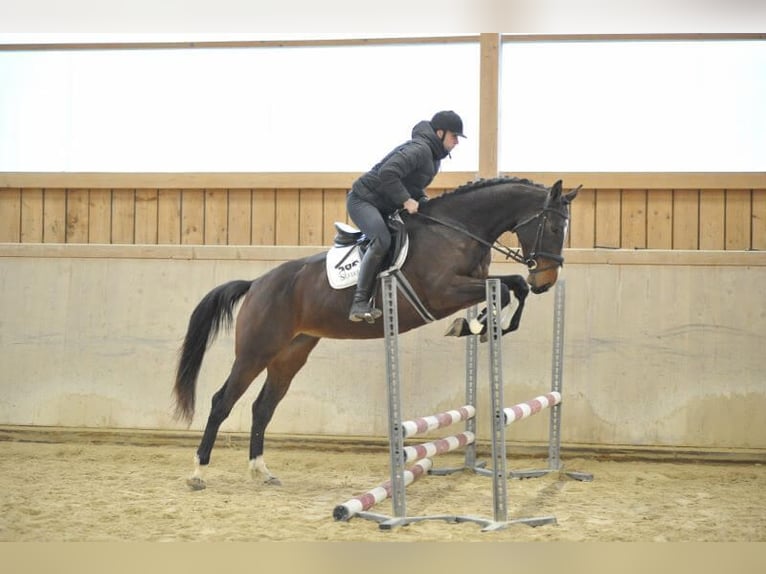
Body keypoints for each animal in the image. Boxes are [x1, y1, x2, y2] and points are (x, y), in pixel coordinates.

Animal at [176, 177, 584, 490]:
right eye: (552, 227)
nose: (547, 281)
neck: (457, 230)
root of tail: (257, 283)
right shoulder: (442, 292)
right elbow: (510, 286)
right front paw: (477, 324)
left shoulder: (473, 284)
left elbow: (512, 286)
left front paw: (481, 324)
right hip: (255, 351)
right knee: (222, 402)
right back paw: (198, 472)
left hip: (290, 354)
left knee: (263, 407)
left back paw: (261, 471)